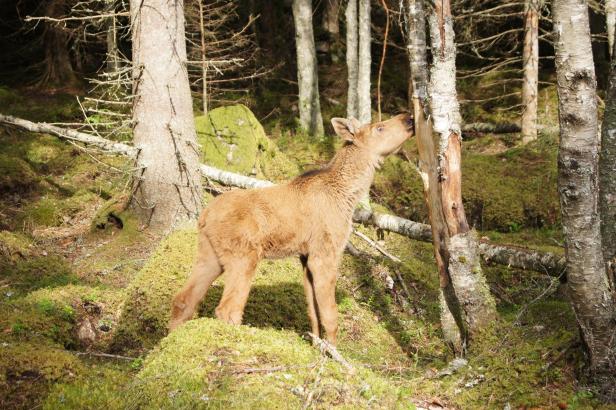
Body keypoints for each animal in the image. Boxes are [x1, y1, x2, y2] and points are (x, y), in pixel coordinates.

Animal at [170, 113, 414, 344]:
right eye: (379, 127)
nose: (409, 117)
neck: (347, 196)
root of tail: (204, 216)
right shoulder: (326, 251)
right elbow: (330, 316)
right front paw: (335, 354)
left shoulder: (305, 256)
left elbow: (313, 315)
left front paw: (320, 348)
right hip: (244, 255)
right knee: (227, 309)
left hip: (209, 255)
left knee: (183, 299)